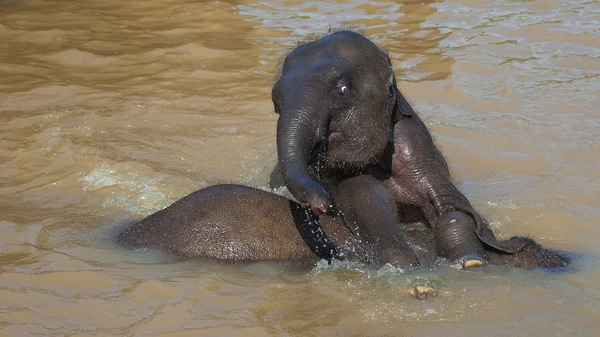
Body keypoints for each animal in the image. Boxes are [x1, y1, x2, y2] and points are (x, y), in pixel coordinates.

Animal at [270, 30, 532, 270]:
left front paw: (469, 260)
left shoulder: (416, 150)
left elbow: (451, 208)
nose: (323, 205)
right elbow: (366, 196)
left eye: (344, 90)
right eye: (276, 103)